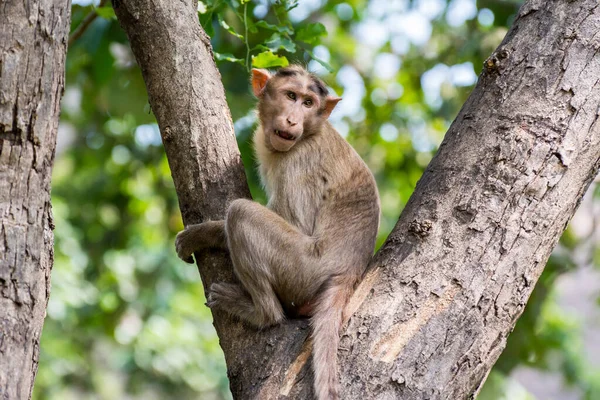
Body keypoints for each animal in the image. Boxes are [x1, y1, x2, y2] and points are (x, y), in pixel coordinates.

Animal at [175, 64, 380, 398]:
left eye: (308, 103)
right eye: (292, 96)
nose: (293, 120)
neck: (309, 133)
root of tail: (349, 272)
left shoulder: (299, 162)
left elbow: (296, 223)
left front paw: (201, 233)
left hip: (302, 270)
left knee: (240, 214)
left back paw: (261, 312)